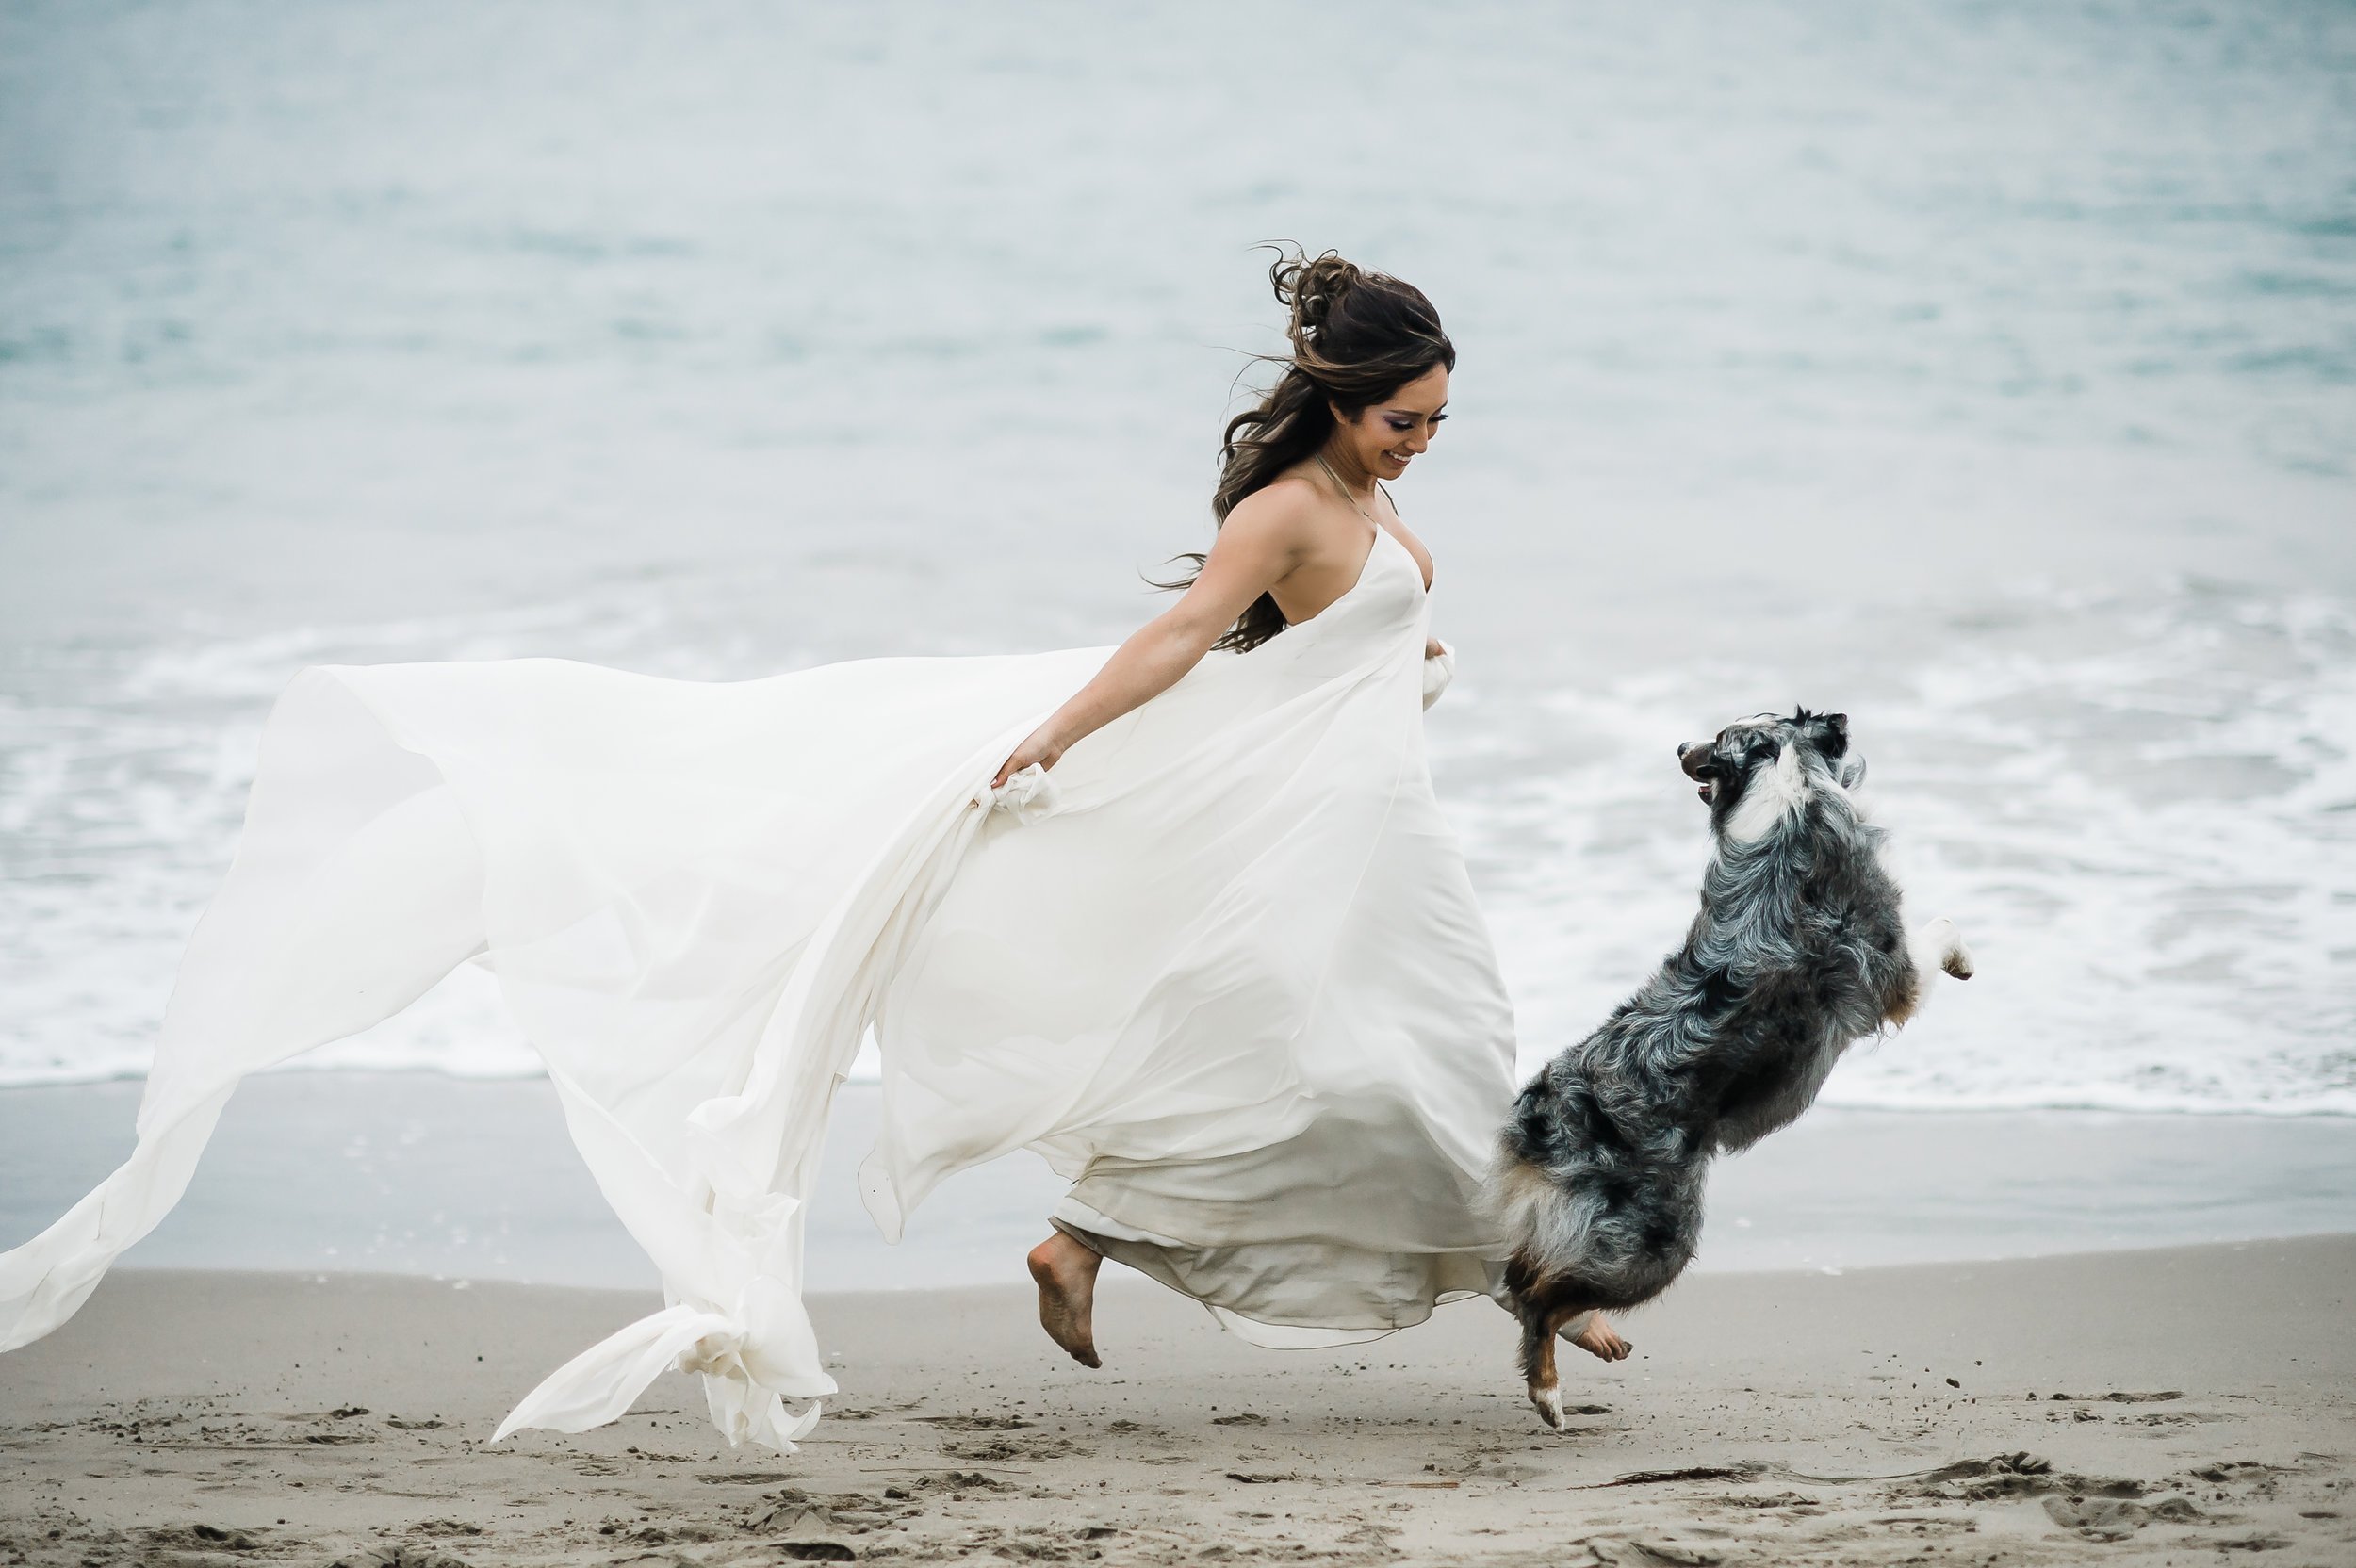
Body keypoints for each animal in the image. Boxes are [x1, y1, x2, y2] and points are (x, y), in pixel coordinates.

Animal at [1489, 710, 1970, 1431]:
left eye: (1714, 737)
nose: (1678, 746)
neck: (1787, 789)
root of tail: (1544, 1112)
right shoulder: (1894, 969)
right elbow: (1937, 929)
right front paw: (1964, 956)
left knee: (1518, 1283)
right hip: (1657, 1242)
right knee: (1542, 1296)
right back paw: (1550, 1395)